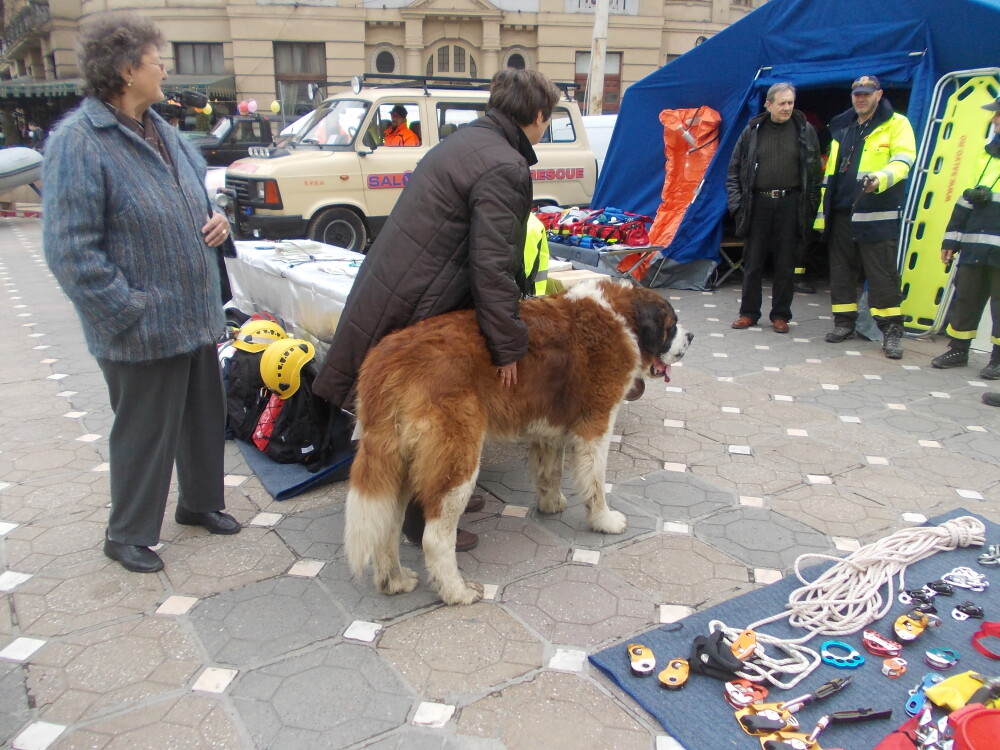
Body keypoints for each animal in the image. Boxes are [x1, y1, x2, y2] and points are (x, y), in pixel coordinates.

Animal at [344, 280, 688, 608]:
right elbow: (595, 482)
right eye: (672, 325)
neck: (623, 317)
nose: (692, 336)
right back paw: (458, 592)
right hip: (457, 459)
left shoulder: (548, 427)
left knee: (386, 525)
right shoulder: (597, 424)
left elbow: (550, 470)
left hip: (397, 459)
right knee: (436, 537)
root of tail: (388, 359)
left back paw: (394, 581)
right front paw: (604, 520)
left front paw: (552, 503)